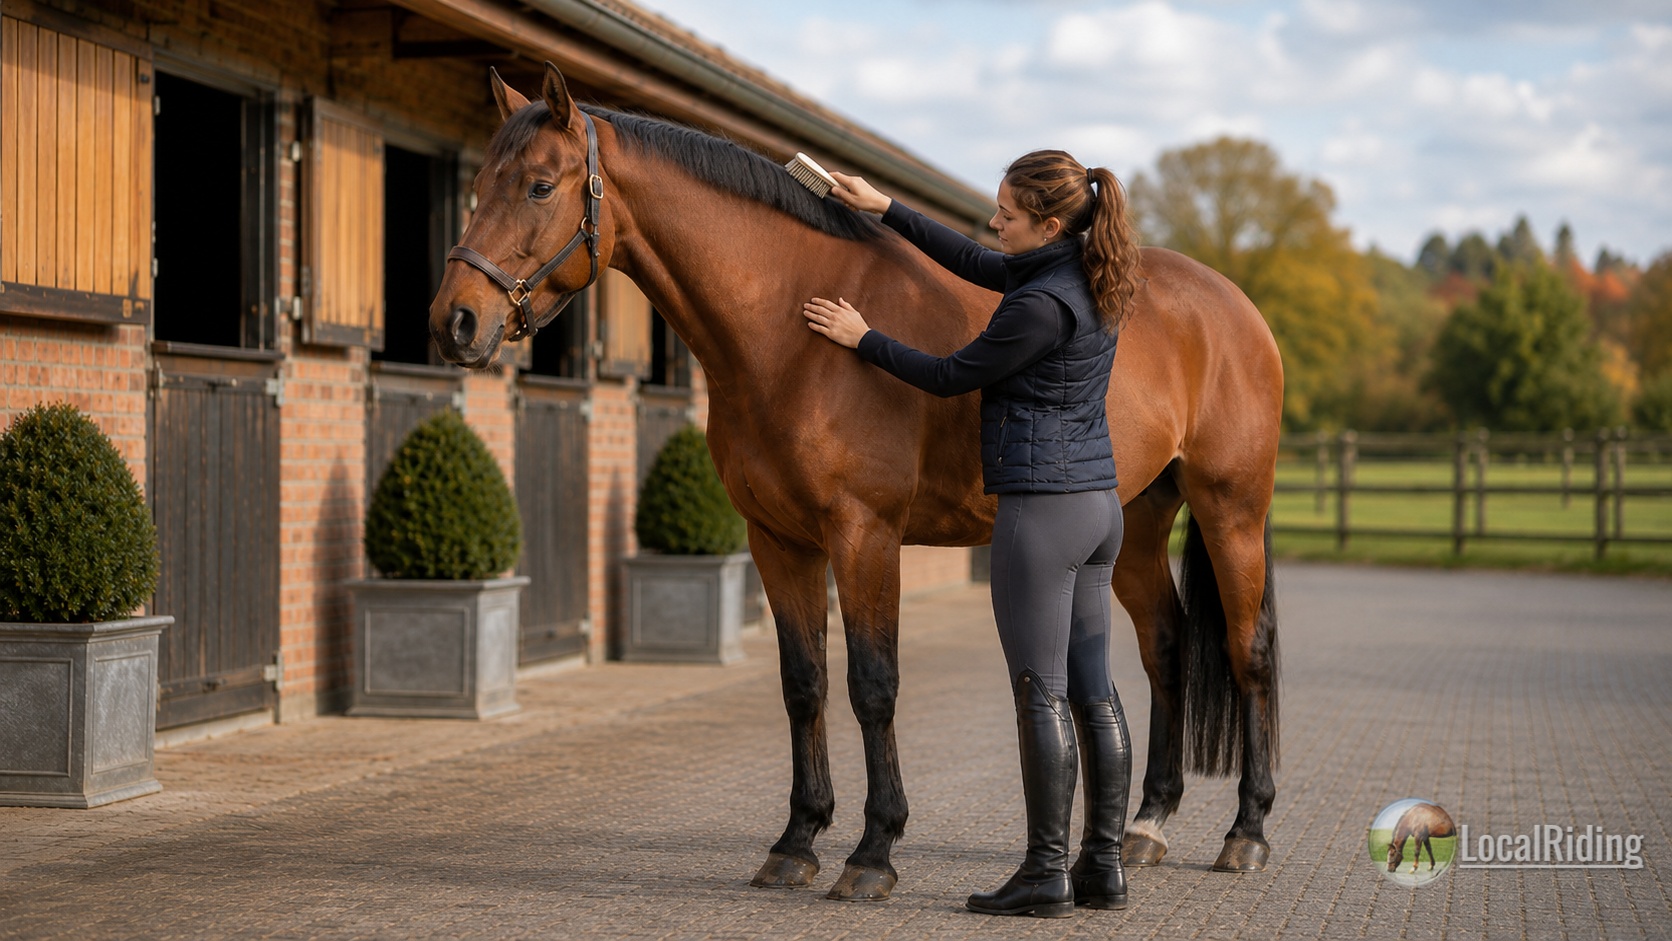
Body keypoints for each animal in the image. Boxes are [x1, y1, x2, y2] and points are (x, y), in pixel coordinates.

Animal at [430, 63, 1284, 900]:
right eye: (481, 182)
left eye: (540, 186)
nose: (453, 322)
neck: (787, 328)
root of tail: (1234, 305)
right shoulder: (777, 540)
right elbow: (803, 682)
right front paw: (796, 840)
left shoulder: (864, 533)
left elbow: (873, 684)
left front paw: (873, 851)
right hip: (1134, 526)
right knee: (1165, 646)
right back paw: (1147, 825)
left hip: (1230, 511)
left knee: (1248, 650)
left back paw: (1246, 833)